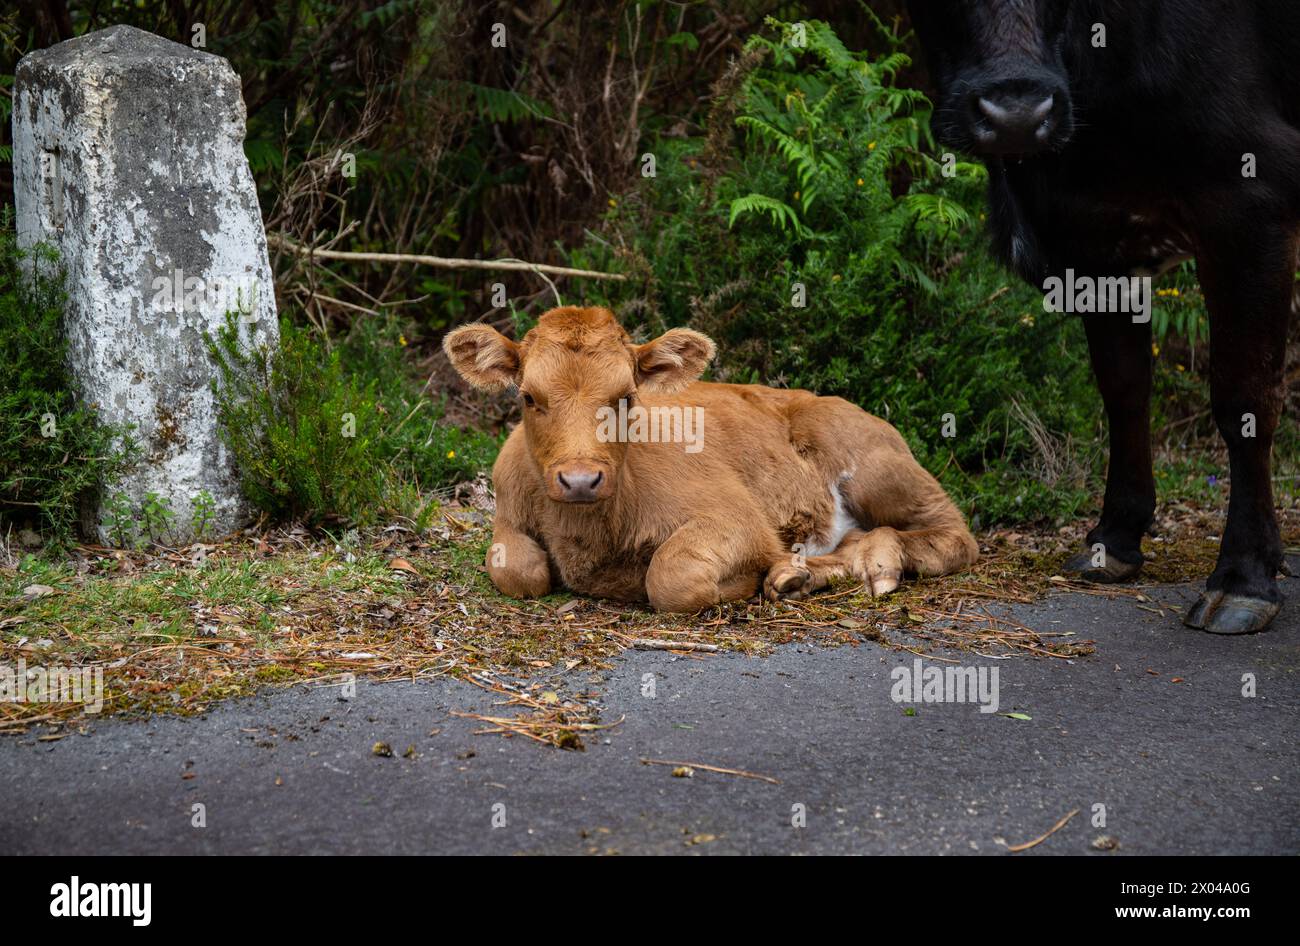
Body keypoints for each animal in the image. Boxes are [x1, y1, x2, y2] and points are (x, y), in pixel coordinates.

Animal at [444, 306, 977, 610]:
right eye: (529, 397)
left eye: (626, 397)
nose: (579, 480)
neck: (587, 537)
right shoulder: (508, 515)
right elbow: (517, 571)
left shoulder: (737, 517)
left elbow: (671, 577)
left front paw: (739, 583)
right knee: (852, 543)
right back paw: (800, 576)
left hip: (875, 466)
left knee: (954, 535)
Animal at [904, 1, 1300, 636]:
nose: (1018, 115)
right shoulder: (1095, 239)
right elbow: (1123, 387)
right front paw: (1115, 538)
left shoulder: (1252, 198)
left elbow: (1245, 398)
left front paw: (1244, 576)